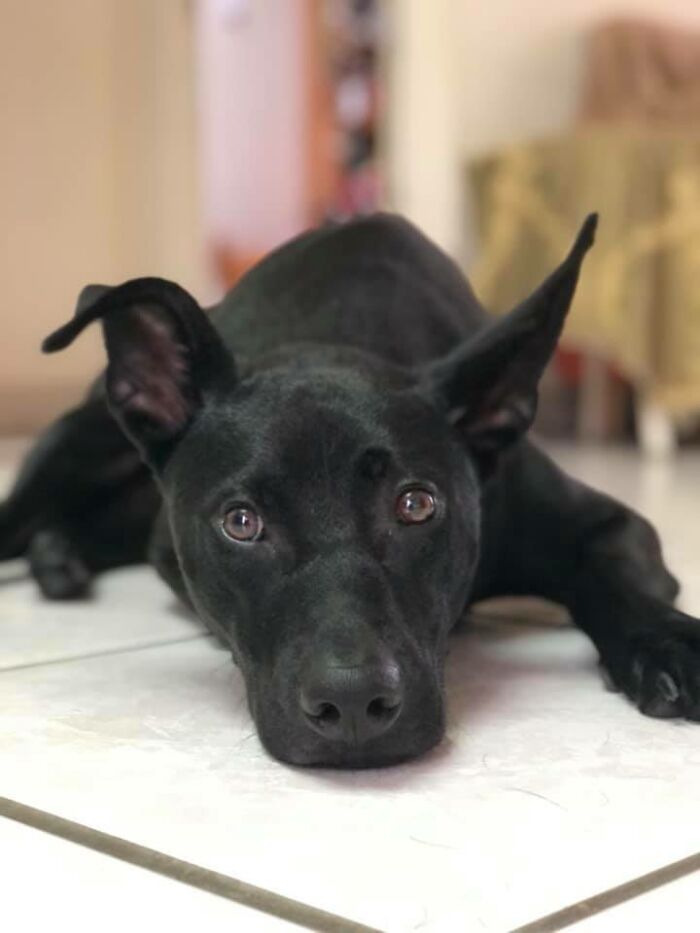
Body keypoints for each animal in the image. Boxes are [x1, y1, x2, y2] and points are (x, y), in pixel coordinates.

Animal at [2, 213, 696, 764]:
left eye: (416, 504)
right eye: (241, 521)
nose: (355, 703)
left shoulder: (605, 522)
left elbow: (611, 576)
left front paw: (668, 643)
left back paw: (60, 556)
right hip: (73, 442)